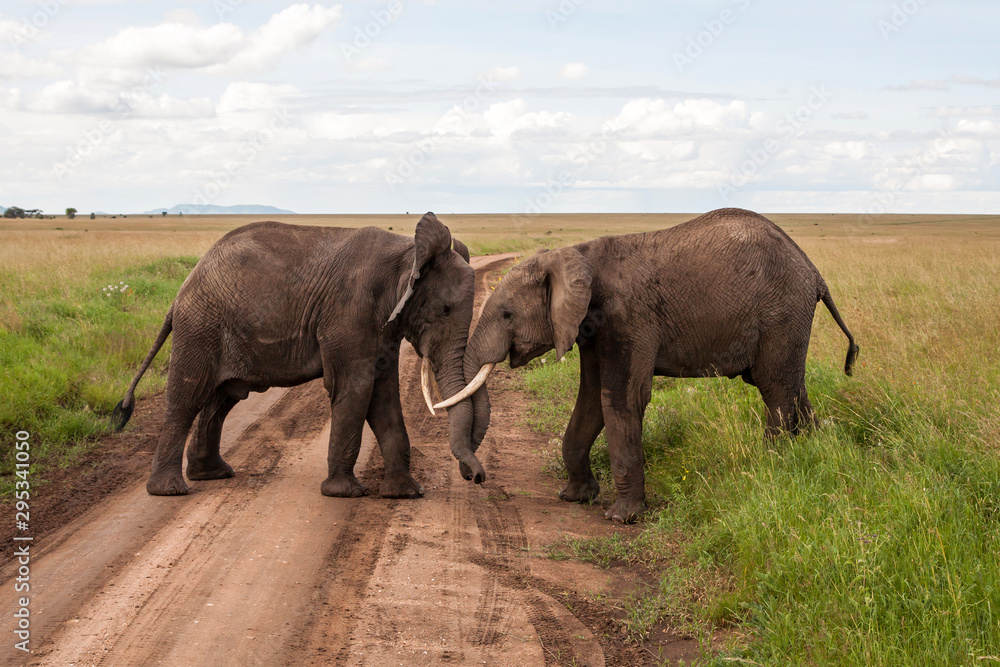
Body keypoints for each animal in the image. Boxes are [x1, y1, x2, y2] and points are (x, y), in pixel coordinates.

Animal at [113, 212, 490, 497]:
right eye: (444, 309)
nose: (475, 477)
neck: (407, 254)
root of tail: (180, 293)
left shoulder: (382, 325)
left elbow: (384, 397)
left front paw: (405, 493)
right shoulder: (348, 314)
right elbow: (355, 388)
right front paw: (344, 493)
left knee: (222, 399)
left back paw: (213, 474)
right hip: (200, 326)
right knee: (188, 397)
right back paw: (169, 490)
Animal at [439, 208, 859, 522]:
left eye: (507, 315)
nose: (477, 478)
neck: (577, 253)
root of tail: (814, 272)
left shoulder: (628, 318)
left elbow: (621, 399)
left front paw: (621, 517)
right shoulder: (592, 328)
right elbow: (591, 401)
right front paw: (575, 497)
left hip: (781, 313)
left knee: (776, 392)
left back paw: (770, 470)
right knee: (793, 387)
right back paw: (811, 453)